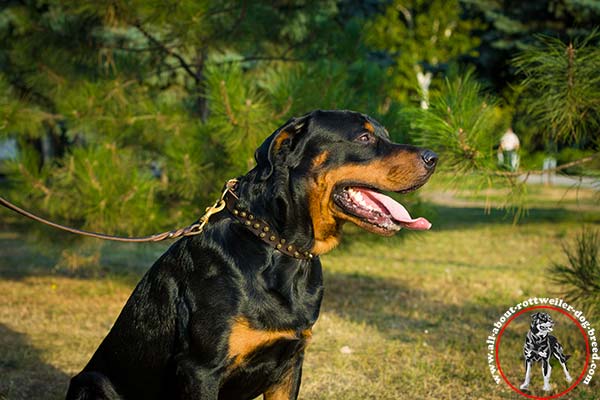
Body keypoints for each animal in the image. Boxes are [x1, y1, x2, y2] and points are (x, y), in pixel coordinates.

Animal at [67, 109, 436, 400]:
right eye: (363, 137)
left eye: (385, 135)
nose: (434, 157)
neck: (280, 248)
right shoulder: (200, 370)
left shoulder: (290, 364)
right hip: (91, 383)